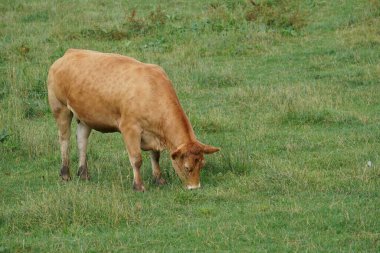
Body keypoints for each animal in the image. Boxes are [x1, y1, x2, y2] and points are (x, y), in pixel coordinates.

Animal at [47, 49, 220, 192]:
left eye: (202, 165)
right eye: (187, 167)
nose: (194, 187)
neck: (152, 92)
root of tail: (69, 53)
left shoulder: (153, 132)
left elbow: (155, 156)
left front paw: (159, 179)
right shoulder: (130, 128)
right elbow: (136, 159)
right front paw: (138, 185)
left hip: (85, 116)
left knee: (82, 141)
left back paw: (84, 174)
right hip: (60, 108)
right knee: (65, 140)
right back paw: (65, 174)